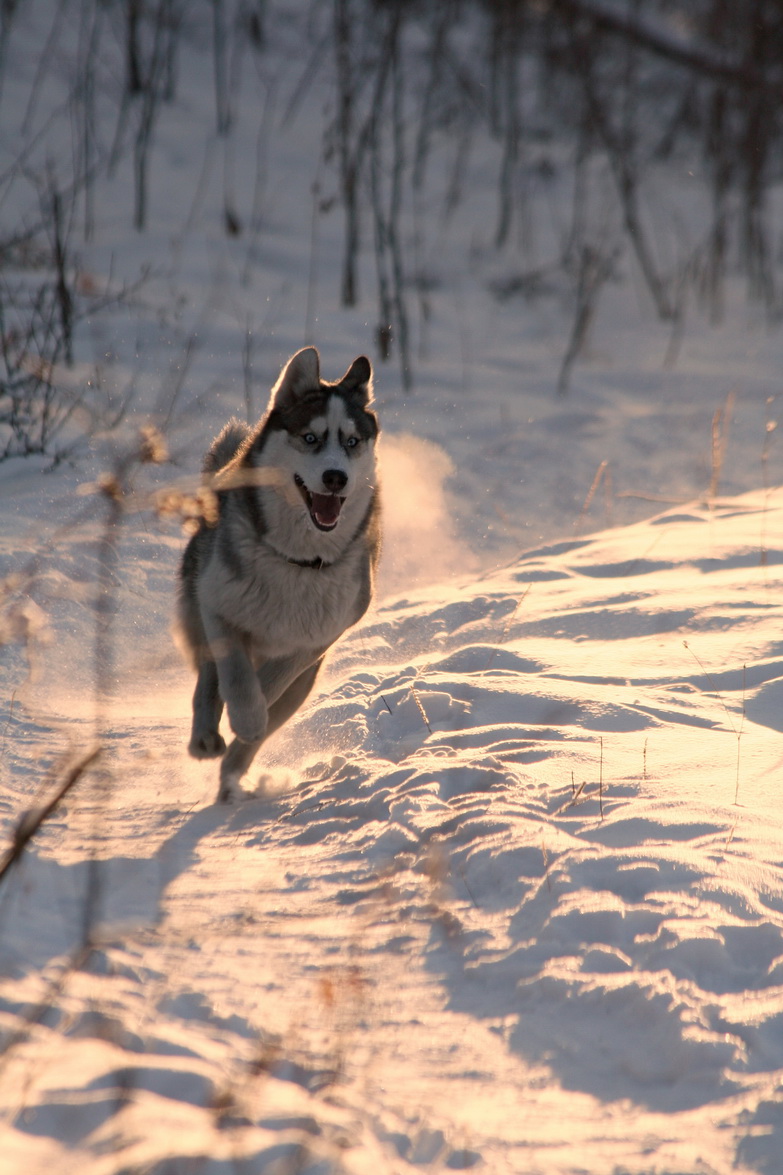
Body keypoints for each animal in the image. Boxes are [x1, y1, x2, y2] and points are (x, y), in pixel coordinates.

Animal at [179, 343, 380, 798]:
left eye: (352, 442)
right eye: (310, 438)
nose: (336, 477)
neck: (297, 561)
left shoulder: (314, 642)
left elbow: (269, 684)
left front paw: (251, 722)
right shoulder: (218, 606)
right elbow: (235, 676)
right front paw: (244, 713)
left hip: (303, 687)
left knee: (263, 724)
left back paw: (232, 780)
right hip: (198, 604)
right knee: (208, 678)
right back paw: (206, 738)